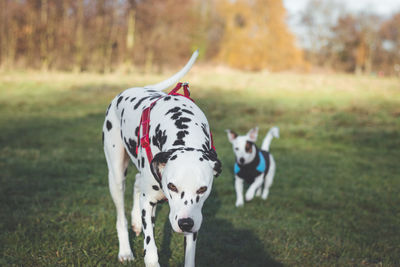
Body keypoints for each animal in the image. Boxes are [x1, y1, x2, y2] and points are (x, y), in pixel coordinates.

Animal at [102, 50, 222, 267]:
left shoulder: (193, 219)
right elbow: (150, 250)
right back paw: (125, 250)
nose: (185, 223)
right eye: (172, 186)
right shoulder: (149, 201)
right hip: (116, 175)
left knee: (138, 181)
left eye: (202, 189)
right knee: (121, 216)